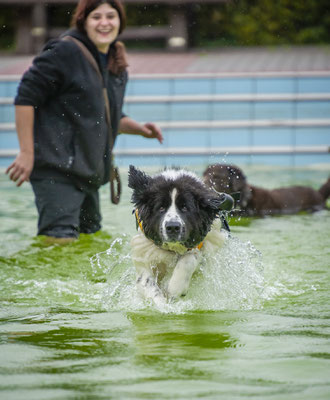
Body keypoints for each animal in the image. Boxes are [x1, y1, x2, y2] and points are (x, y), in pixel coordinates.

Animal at [127, 164, 233, 304]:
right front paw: (161, 304)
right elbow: (147, 282)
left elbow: (189, 258)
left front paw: (175, 289)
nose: (172, 227)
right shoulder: (144, 250)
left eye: (185, 207)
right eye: (161, 208)